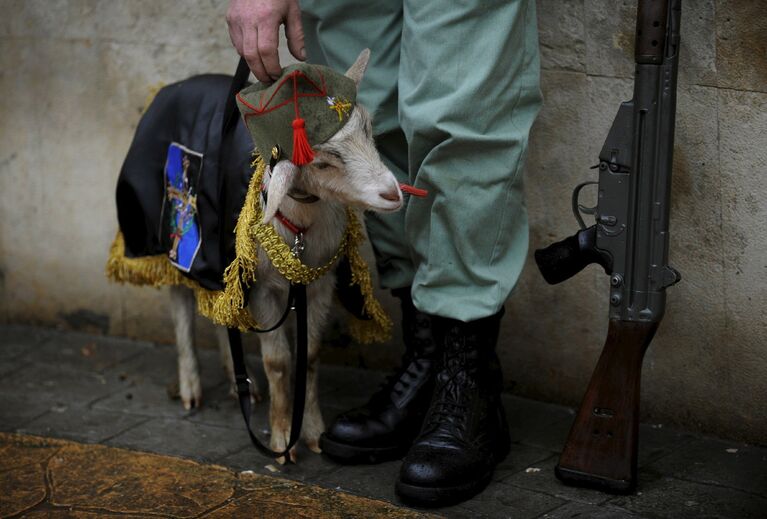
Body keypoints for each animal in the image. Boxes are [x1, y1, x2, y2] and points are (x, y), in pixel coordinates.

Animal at [168, 51, 402, 464]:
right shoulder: (264, 288)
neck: (300, 228)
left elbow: (309, 356)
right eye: (323, 161)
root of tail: (184, 82)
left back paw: (239, 383)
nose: (393, 194)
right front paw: (280, 443)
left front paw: (312, 432)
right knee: (180, 304)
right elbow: (278, 363)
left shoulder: (320, 284)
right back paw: (191, 386)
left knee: (222, 313)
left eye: (369, 129)